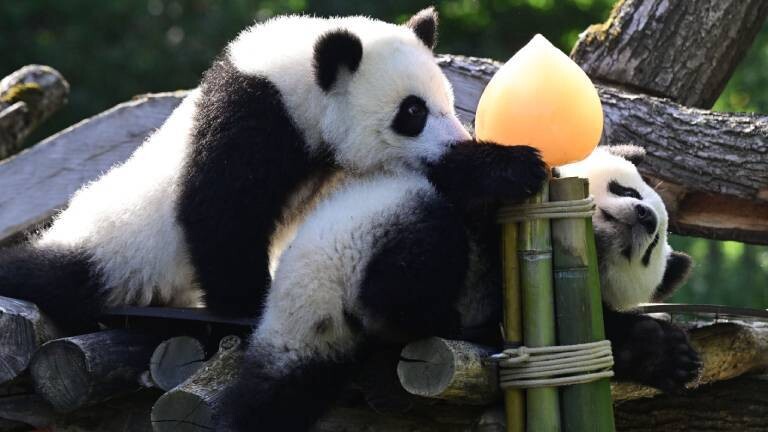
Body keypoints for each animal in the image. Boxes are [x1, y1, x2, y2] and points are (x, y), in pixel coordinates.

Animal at [0, 8, 472, 332]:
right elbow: (219, 210)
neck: (300, 79)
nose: (458, 145)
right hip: (113, 252)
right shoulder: (255, 117)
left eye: (449, 101)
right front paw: (248, 302)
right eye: (412, 112)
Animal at [216, 144, 699, 432]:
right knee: (420, 247)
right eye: (626, 188)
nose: (645, 217)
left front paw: (669, 357)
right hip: (358, 239)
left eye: (651, 249)